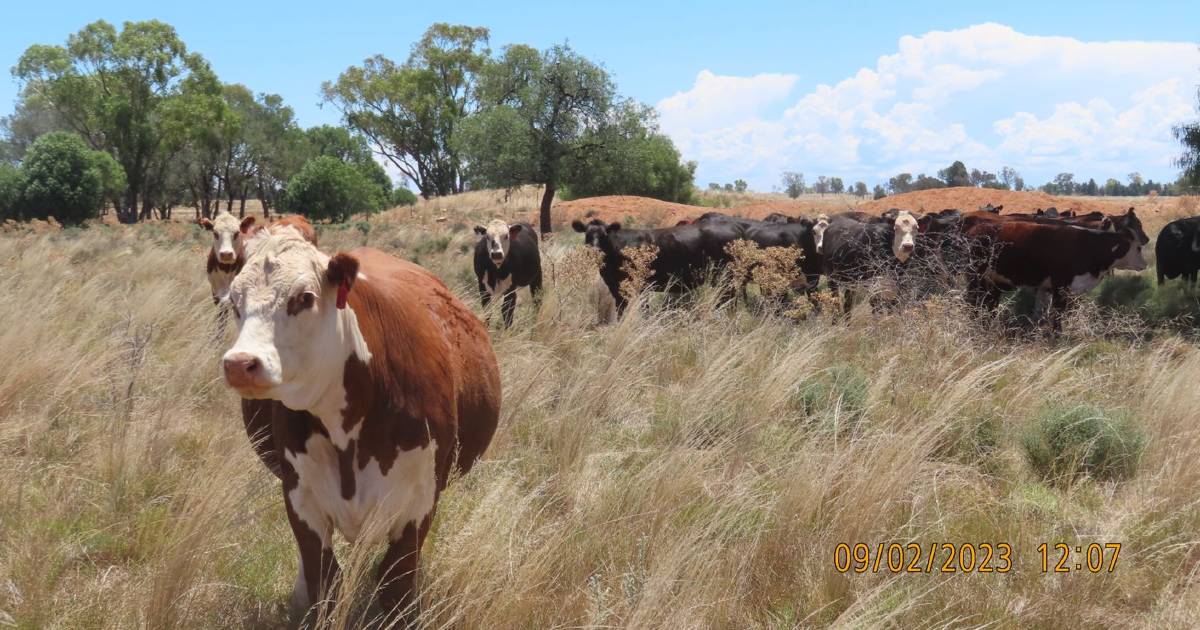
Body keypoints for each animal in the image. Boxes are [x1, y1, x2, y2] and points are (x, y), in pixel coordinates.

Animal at [218, 223, 499, 614]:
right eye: (235, 302)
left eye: (305, 298)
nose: (239, 364)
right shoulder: (300, 497)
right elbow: (324, 578)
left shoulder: (419, 502)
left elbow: (396, 584)